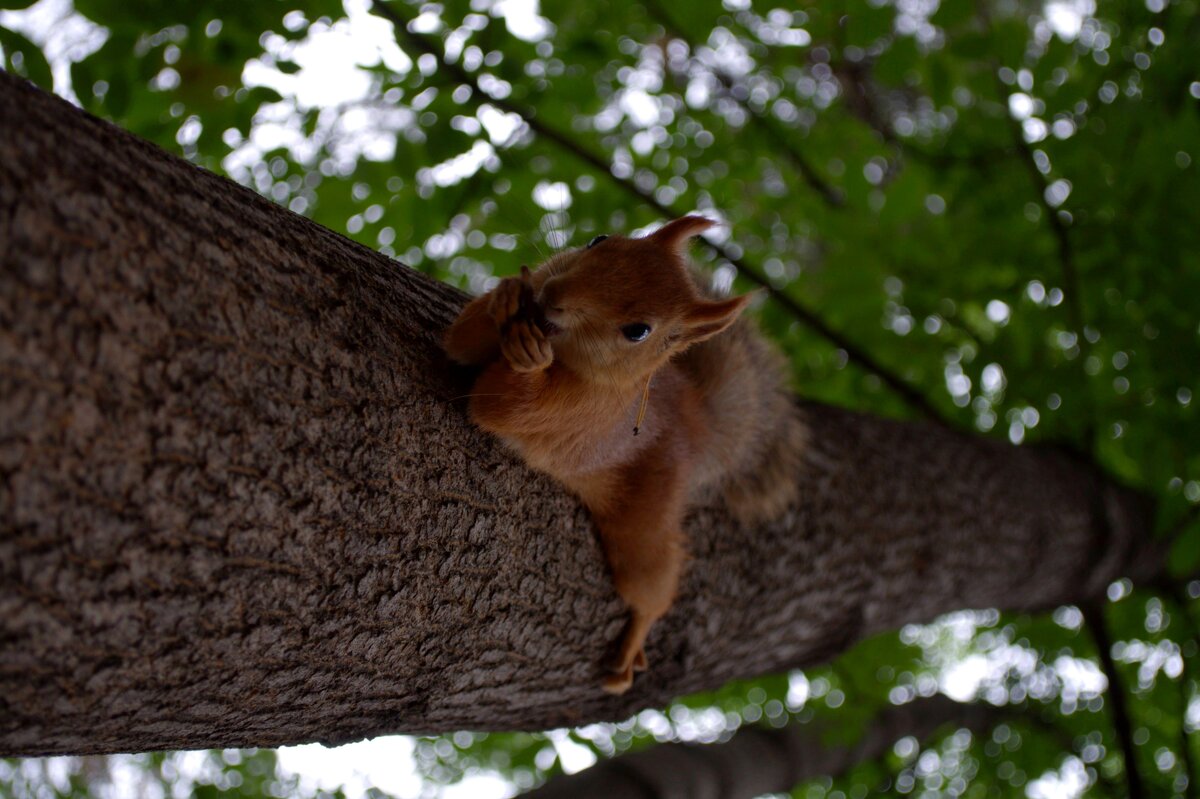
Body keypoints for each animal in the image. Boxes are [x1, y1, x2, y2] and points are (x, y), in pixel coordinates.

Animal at [444, 213, 806, 691]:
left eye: (638, 331)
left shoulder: (577, 412)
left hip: (645, 525)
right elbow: (460, 341)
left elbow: (502, 406)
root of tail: (693, 426)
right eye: (599, 240)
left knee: (652, 591)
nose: (553, 297)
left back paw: (631, 648)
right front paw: (507, 295)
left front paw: (527, 356)